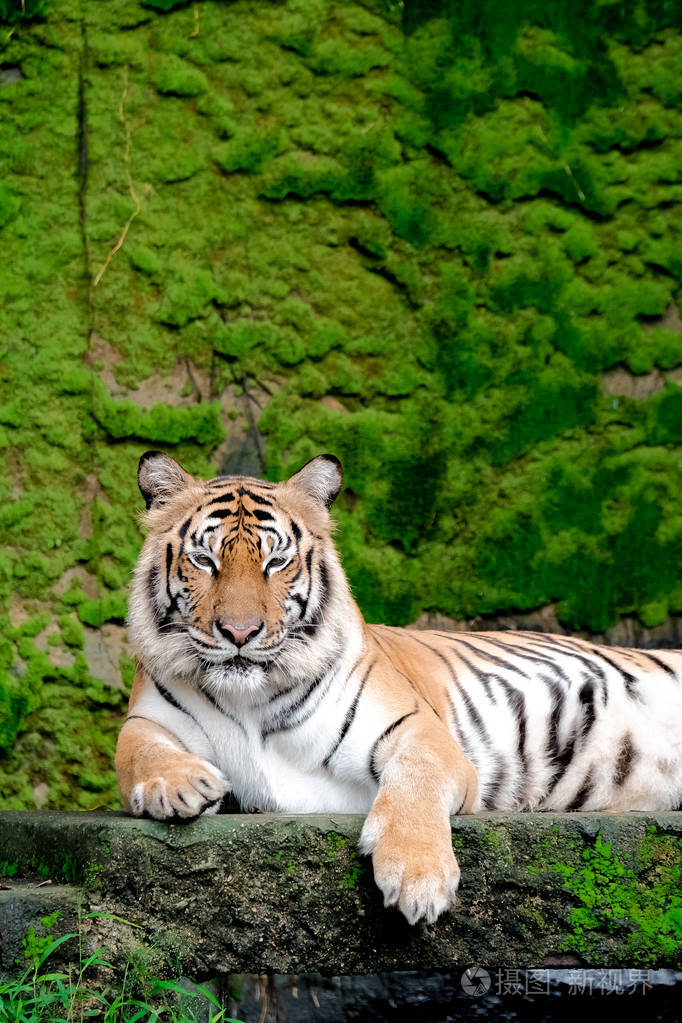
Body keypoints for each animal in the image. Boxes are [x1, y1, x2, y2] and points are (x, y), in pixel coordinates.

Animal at [116, 450, 682, 925]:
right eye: (205, 561)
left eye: (275, 562)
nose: (239, 632)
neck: (250, 697)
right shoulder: (149, 716)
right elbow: (136, 751)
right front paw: (177, 785)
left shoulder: (418, 731)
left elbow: (414, 779)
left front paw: (417, 878)